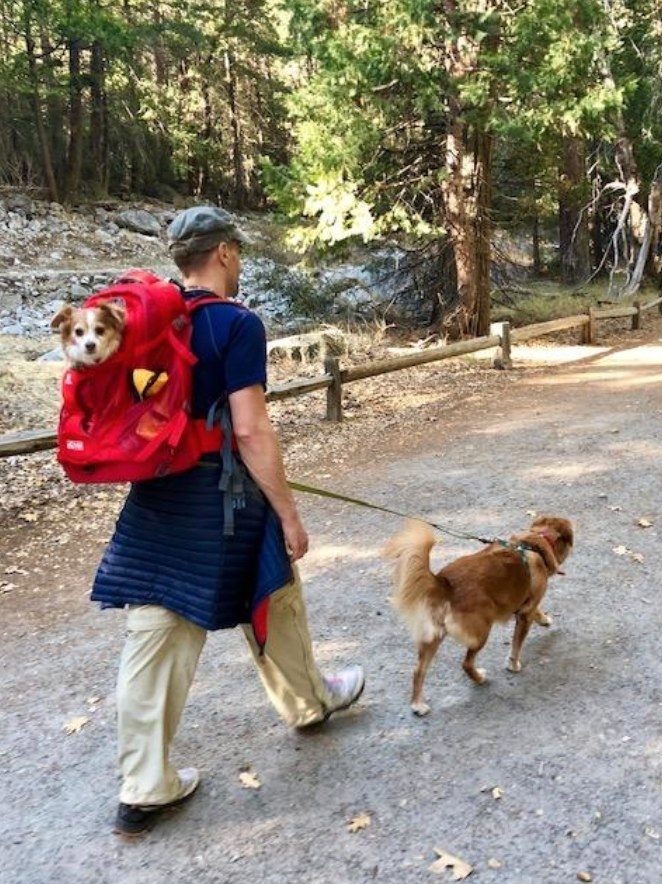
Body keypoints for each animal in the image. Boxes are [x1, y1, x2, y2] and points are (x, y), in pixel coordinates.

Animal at [386, 516, 572, 716]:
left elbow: (537, 611)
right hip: (482, 632)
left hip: (432, 638)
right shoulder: (525, 614)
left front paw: (544, 619)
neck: (535, 543)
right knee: (466, 664)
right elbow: (516, 645)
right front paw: (513, 665)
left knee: (418, 671)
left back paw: (417, 705)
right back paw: (479, 678)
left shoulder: (527, 607)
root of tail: (445, 584)